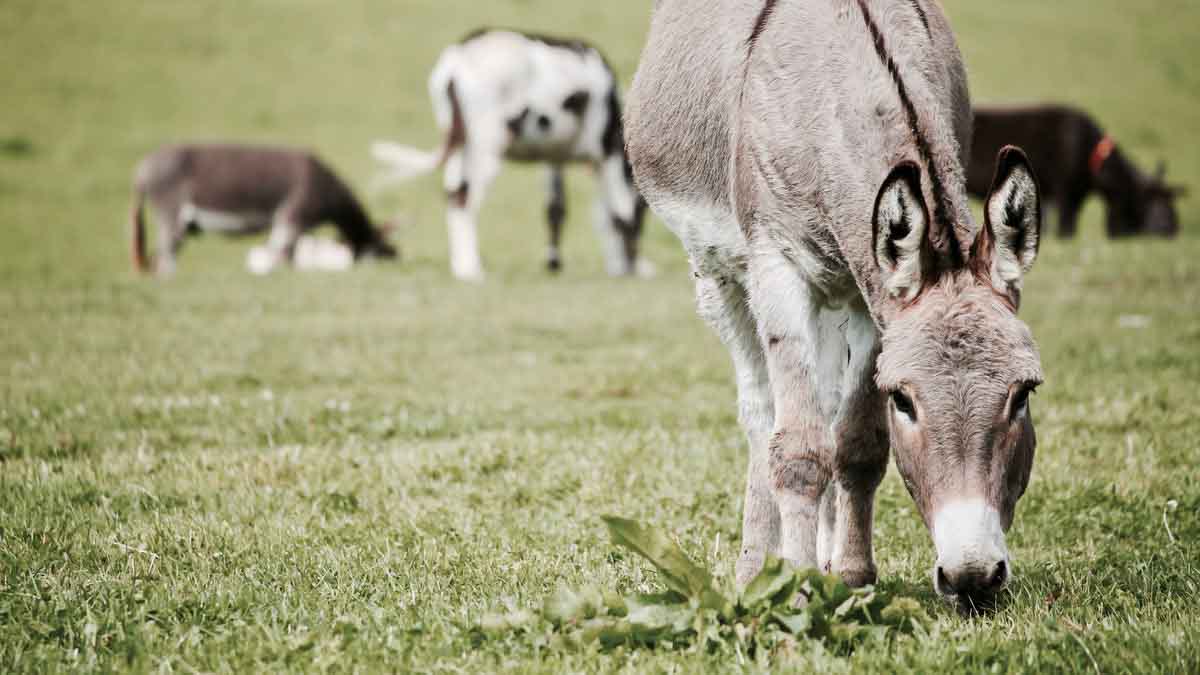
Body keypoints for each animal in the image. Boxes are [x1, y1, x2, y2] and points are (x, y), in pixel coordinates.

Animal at [374, 28, 652, 281]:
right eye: (645, 208)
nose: (631, 264)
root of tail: (460, 56)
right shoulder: (608, 152)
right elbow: (620, 213)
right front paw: (631, 267)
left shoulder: (553, 156)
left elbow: (557, 209)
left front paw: (555, 263)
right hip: (486, 145)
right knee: (464, 198)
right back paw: (470, 269)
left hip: (460, 145)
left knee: (453, 194)